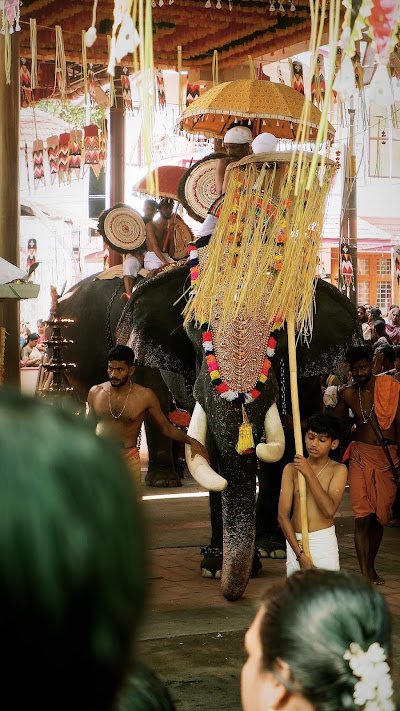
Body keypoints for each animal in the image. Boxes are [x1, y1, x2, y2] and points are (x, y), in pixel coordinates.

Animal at [115, 264, 362, 604]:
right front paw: (216, 568)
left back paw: (272, 547)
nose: (230, 594)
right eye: (195, 327)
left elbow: (289, 441)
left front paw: (268, 550)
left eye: (280, 330)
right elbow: (210, 449)